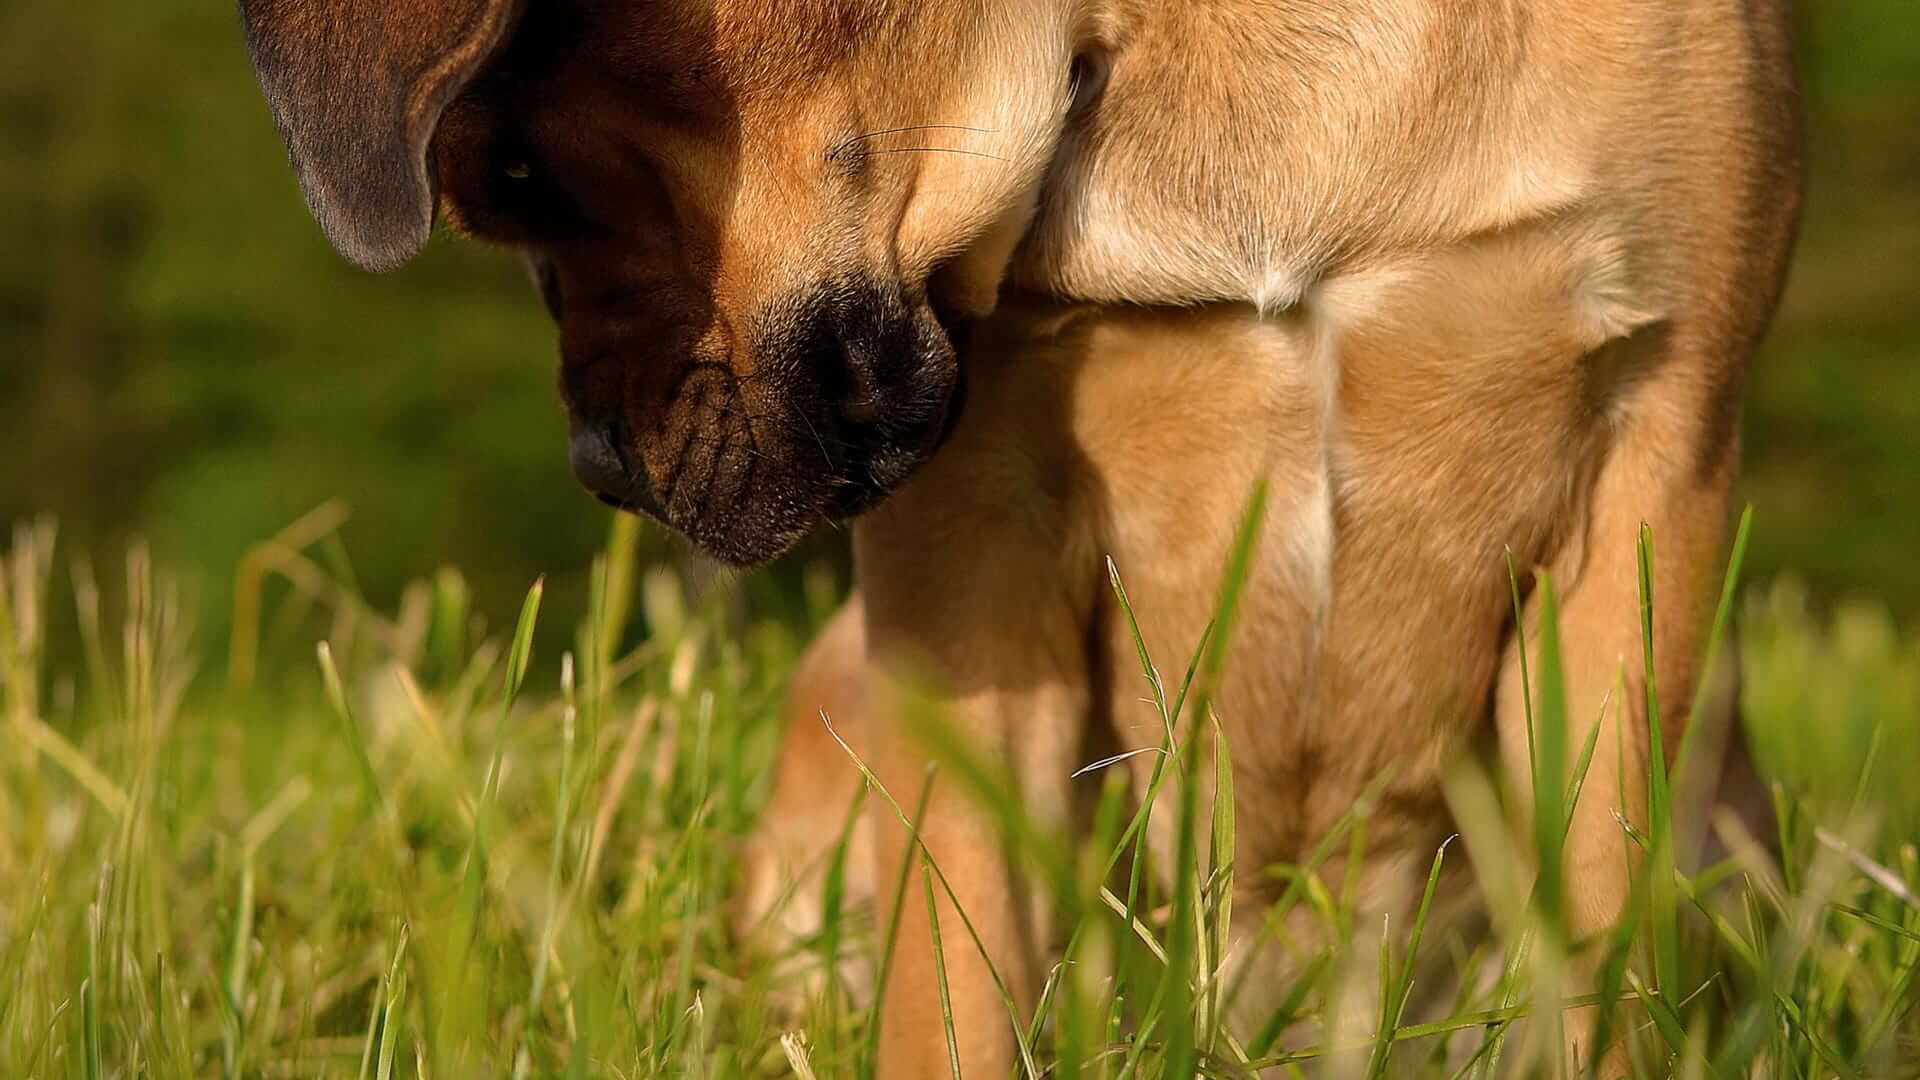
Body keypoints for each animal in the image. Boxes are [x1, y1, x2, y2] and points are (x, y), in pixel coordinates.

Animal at [236, 0, 1797, 1060]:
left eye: (520, 180)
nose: (599, 464)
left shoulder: (1649, 479)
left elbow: (1598, 942)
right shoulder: (969, 552)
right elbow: (957, 979)